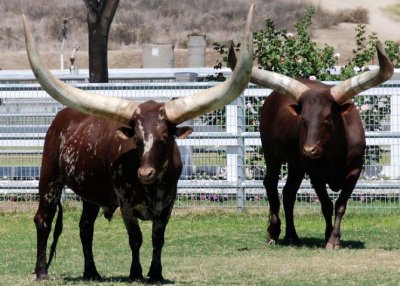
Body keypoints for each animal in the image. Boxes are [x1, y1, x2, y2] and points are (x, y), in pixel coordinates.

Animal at [23, 5, 253, 282]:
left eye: (165, 136)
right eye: (137, 138)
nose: (145, 173)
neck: (152, 187)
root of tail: (61, 118)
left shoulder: (168, 204)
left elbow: (157, 239)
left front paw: (156, 274)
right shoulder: (126, 204)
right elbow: (136, 238)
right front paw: (135, 273)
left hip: (90, 193)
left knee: (85, 227)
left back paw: (92, 272)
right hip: (50, 177)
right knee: (43, 219)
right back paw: (42, 271)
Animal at [230, 41, 392, 249]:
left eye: (328, 118)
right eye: (303, 120)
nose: (309, 150)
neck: (335, 152)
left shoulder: (354, 171)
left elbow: (340, 205)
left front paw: (334, 238)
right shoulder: (315, 173)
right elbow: (326, 205)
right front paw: (329, 237)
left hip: (297, 164)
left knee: (289, 193)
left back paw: (292, 236)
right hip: (272, 153)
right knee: (271, 183)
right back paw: (273, 232)